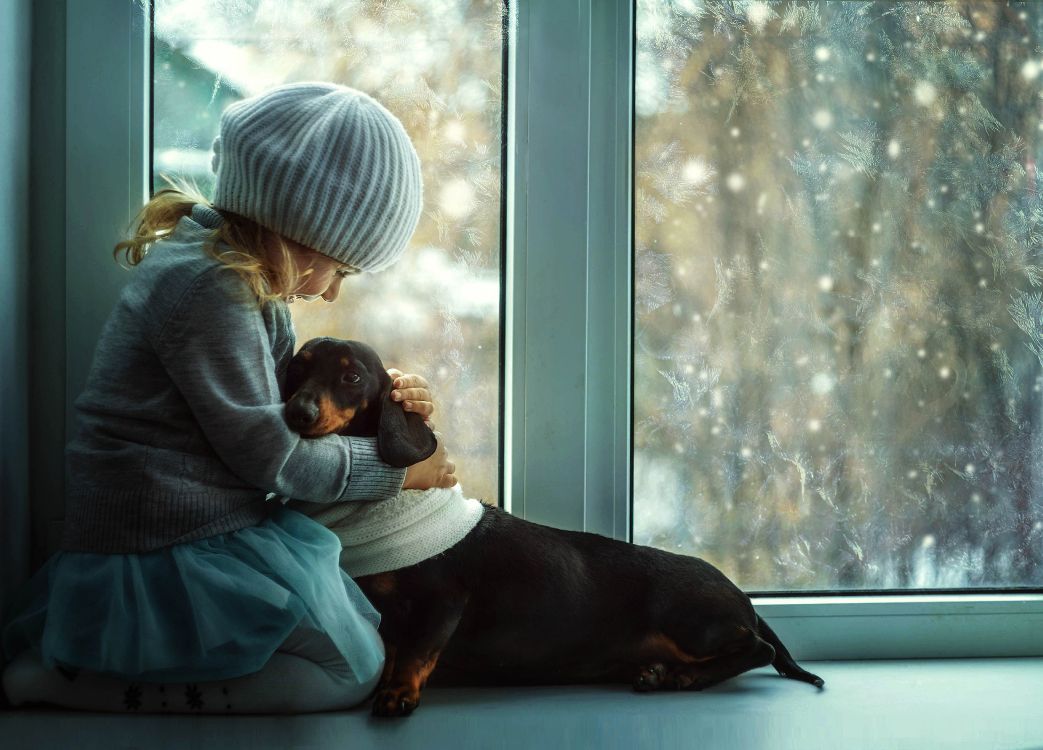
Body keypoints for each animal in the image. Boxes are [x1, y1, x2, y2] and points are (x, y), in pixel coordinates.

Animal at [283, 337, 821, 717]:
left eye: (352, 376)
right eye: (297, 368)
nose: (296, 412)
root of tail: (742, 597)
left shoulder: (444, 599)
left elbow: (416, 651)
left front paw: (397, 694)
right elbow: (396, 646)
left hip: (693, 621)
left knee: (758, 648)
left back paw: (681, 677)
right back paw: (659, 674)